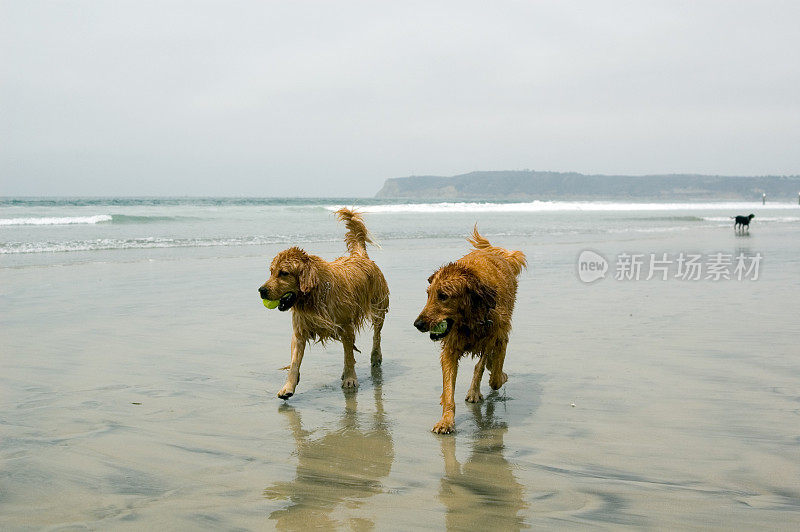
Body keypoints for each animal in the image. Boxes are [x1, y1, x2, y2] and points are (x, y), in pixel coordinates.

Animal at [258, 208, 390, 400]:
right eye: (271, 272)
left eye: (284, 273)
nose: (261, 290)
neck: (314, 295)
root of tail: (360, 255)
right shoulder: (300, 330)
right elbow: (294, 362)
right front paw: (288, 387)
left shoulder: (346, 326)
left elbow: (349, 356)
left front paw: (350, 379)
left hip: (379, 306)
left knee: (376, 335)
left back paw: (375, 357)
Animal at [412, 229, 524, 432]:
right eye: (428, 294)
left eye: (443, 296)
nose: (418, 324)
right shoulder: (450, 349)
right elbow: (449, 390)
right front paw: (446, 420)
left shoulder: (499, 336)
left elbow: (494, 376)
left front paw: (498, 375)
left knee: (485, 363)